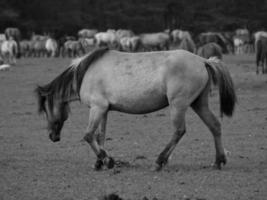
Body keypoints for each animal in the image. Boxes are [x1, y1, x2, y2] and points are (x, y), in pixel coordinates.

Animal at [35, 47, 237, 171]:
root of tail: (203, 60)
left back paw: (159, 162)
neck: (86, 73)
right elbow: (100, 136)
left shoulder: (97, 108)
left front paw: (107, 160)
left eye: (45, 109)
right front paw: (99, 162)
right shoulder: (104, 110)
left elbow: (88, 135)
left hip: (178, 105)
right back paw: (218, 161)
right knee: (214, 126)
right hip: (198, 104)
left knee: (179, 131)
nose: (52, 136)